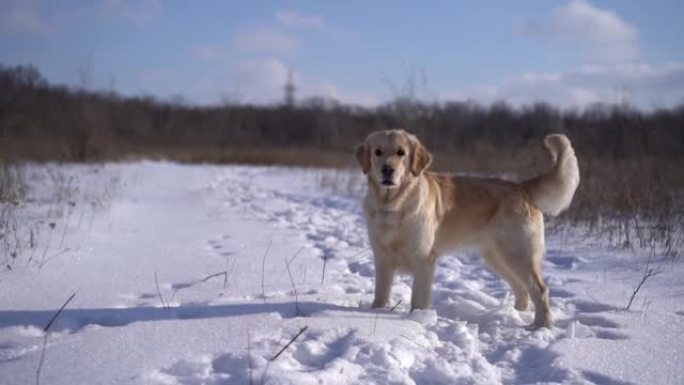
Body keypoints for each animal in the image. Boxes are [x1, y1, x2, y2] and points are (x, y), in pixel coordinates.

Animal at [356, 129, 580, 328]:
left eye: (401, 152)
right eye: (378, 152)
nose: (387, 169)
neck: (393, 204)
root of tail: (522, 187)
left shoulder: (424, 259)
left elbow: (418, 299)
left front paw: (415, 320)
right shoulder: (382, 258)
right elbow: (381, 293)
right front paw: (376, 312)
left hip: (518, 254)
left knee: (540, 290)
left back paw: (540, 325)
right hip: (497, 257)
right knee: (522, 289)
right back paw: (514, 314)